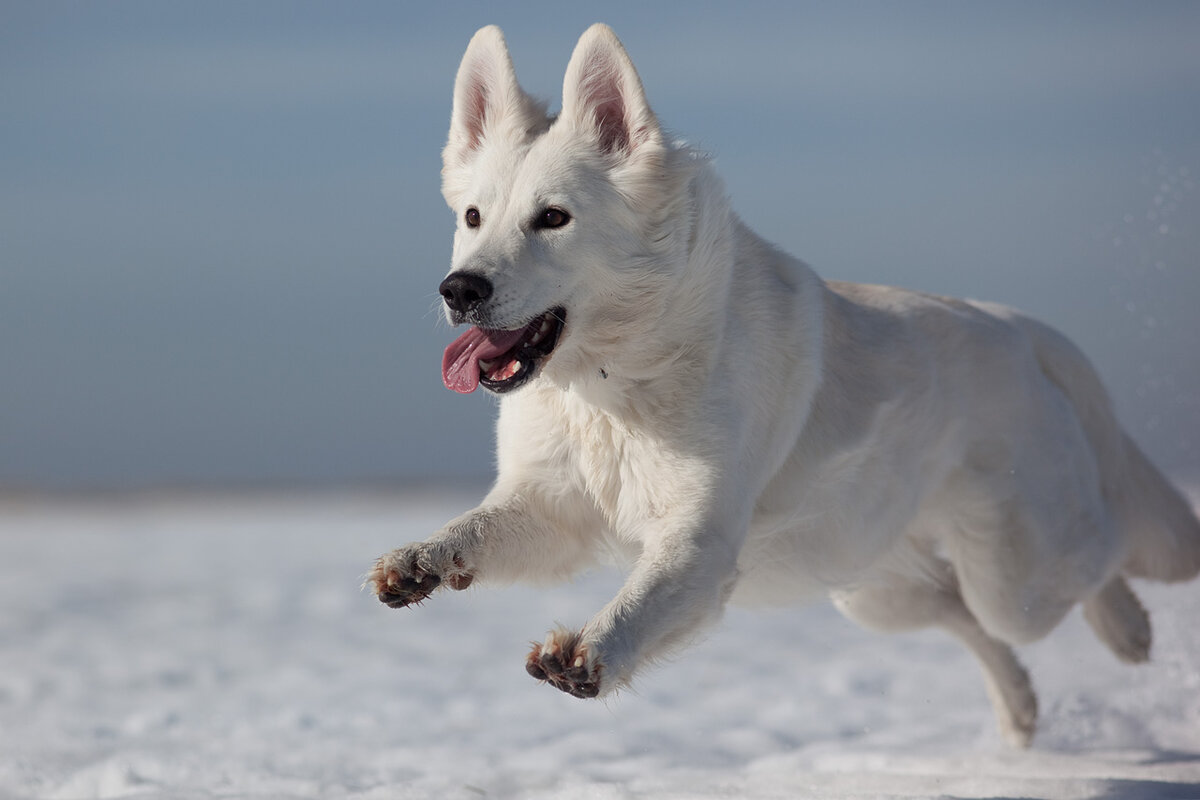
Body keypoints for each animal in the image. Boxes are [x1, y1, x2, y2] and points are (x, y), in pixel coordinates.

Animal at [367, 25, 1200, 753]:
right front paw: (419, 559)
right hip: (865, 583)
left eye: (552, 218)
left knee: (1095, 559)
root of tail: (1022, 330)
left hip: (1014, 573)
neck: (613, 381)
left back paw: (1130, 630)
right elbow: (475, 530)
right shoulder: (551, 510)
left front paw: (590, 649)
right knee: (961, 611)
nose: (459, 289)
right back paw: (1021, 709)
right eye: (473, 216)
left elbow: (641, 600)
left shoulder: (697, 543)